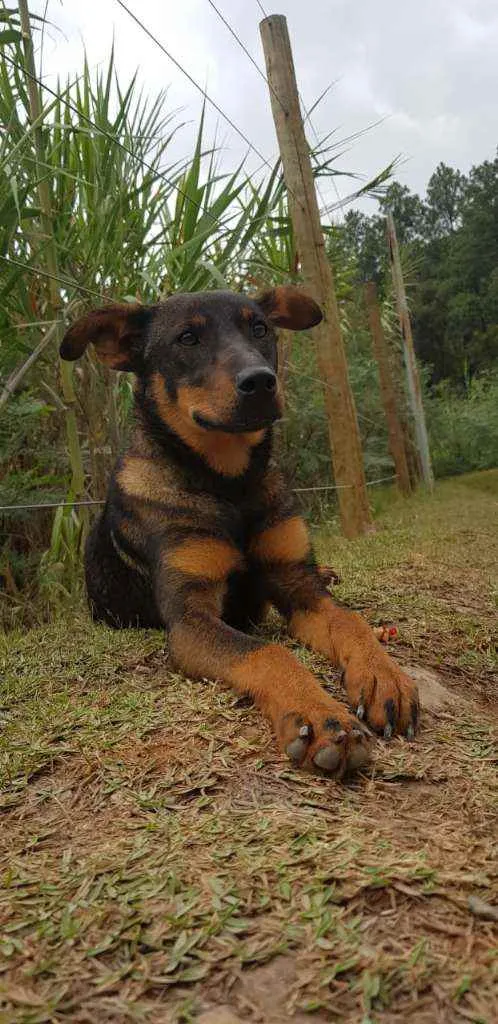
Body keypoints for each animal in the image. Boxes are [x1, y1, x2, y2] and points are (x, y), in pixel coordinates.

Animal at [61, 282, 420, 774]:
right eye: (187, 338)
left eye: (260, 328)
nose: (261, 382)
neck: (230, 485)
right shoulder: (190, 619)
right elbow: (266, 650)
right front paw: (319, 715)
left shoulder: (296, 584)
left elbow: (350, 620)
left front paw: (384, 674)